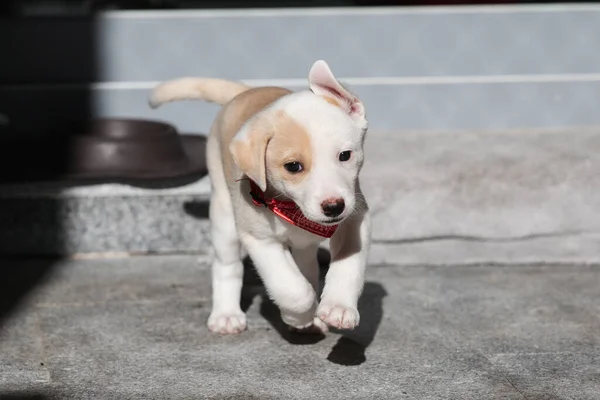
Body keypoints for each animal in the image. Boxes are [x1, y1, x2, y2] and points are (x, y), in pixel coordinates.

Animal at [150, 59, 370, 334]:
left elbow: (348, 263)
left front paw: (337, 308)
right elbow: (293, 290)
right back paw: (226, 315)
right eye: (293, 166)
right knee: (227, 266)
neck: (291, 208)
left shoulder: (355, 218)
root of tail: (245, 92)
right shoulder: (260, 240)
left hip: (305, 245)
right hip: (224, 217)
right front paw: (299, 316)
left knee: (306, 266)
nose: (333, 207)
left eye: (345, 155)